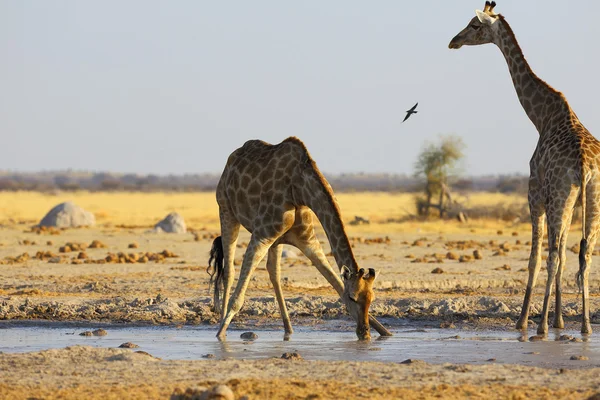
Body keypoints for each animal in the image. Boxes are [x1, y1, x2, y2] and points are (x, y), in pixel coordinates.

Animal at [209, 136, 392, 340]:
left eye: (371, 298)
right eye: (353, 297)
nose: (364, 333)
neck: (299, 191)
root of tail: (231, 159)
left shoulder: (308, 241)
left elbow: (336, 283)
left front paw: (385, 332)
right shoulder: (261, 236)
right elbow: (238, 297)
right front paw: (219, 335)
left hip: (277, 239)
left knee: (274, 272)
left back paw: (288, 329)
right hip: (226, 210)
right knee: (229, 271)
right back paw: (222, 324)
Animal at [450, 2, 600, 334]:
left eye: (474, 25)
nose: (453, 41)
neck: (540, 116)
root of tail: (586, 165)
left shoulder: (535, 191)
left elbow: (535, 258)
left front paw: (525, 321)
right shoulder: (564, 201)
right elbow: (566, 257)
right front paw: (558, 320)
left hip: (559, 198)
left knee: (554, 256)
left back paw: (540, 326)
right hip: (591, 200)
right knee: (584, 256)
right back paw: (584, 326)